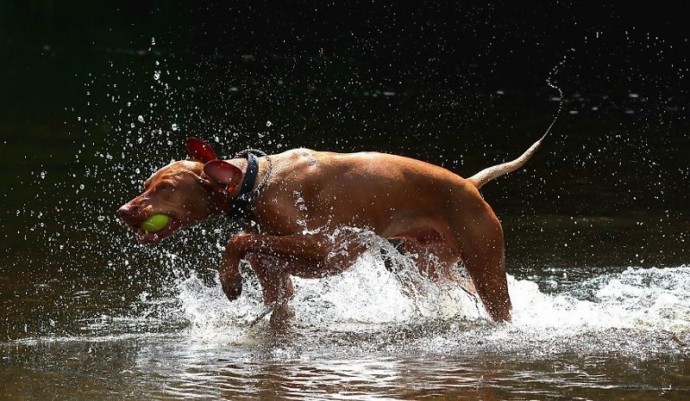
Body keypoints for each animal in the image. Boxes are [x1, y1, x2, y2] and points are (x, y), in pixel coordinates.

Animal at [117, 135, 544, 322]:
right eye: (146, 184)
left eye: (166, 188)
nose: (123, 211)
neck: (258, 180)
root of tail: (470, 183)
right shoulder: (279, 271)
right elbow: (259, 256)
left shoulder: (326, 247)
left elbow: (239, 239)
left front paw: (230, 281)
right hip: (430, 268)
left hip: (486, 269)